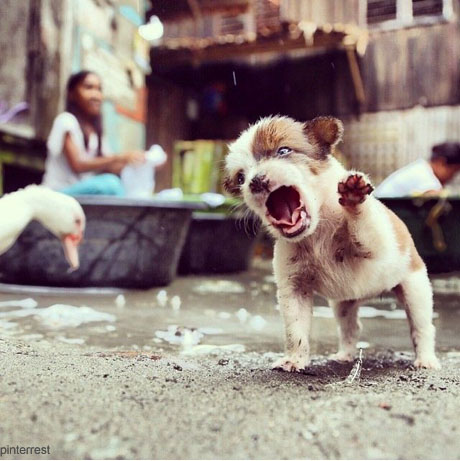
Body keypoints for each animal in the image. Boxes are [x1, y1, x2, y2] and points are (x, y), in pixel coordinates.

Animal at [225, 115, 440, 370]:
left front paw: (354, 199)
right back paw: (344, 355)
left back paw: (425, 359)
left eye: (283, 150)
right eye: (241, 177)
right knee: (351, 329)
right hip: (343, 305)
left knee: (422, 328)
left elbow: (362, 221)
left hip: (415, 290)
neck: (317, 231)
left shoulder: (377, 243)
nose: (255, 181)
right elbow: (295, 331)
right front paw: (294, 359)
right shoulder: (294, 289)